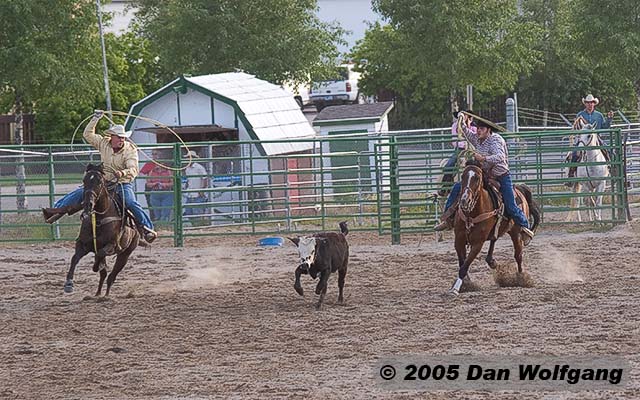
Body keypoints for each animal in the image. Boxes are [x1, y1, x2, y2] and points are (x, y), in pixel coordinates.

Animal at [62, 163, 139, 296]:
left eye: (99, 182)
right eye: (84, 180)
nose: (88, 204)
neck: (99, 219)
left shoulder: (111, 245)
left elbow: (100, 254)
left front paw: (96, 266)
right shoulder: (82, 243)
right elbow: (74, 259)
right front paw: (69, 284)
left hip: (125, 254)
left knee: (111, 276)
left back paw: (106, 295)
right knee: (104, 275)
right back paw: (98, 293)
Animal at [450, 161, 540, 296]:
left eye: (477, 178)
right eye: (462, 176)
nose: (465, 200)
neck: (472, 214)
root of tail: (519, 190)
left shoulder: (478, 243)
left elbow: (464, 266)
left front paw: (456, 289)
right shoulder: (459, 239)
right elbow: (462, 263)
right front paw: (466, 284)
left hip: (515, 232)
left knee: (518, 255)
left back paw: (521, 278)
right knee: (494, 239)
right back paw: (492, 262)